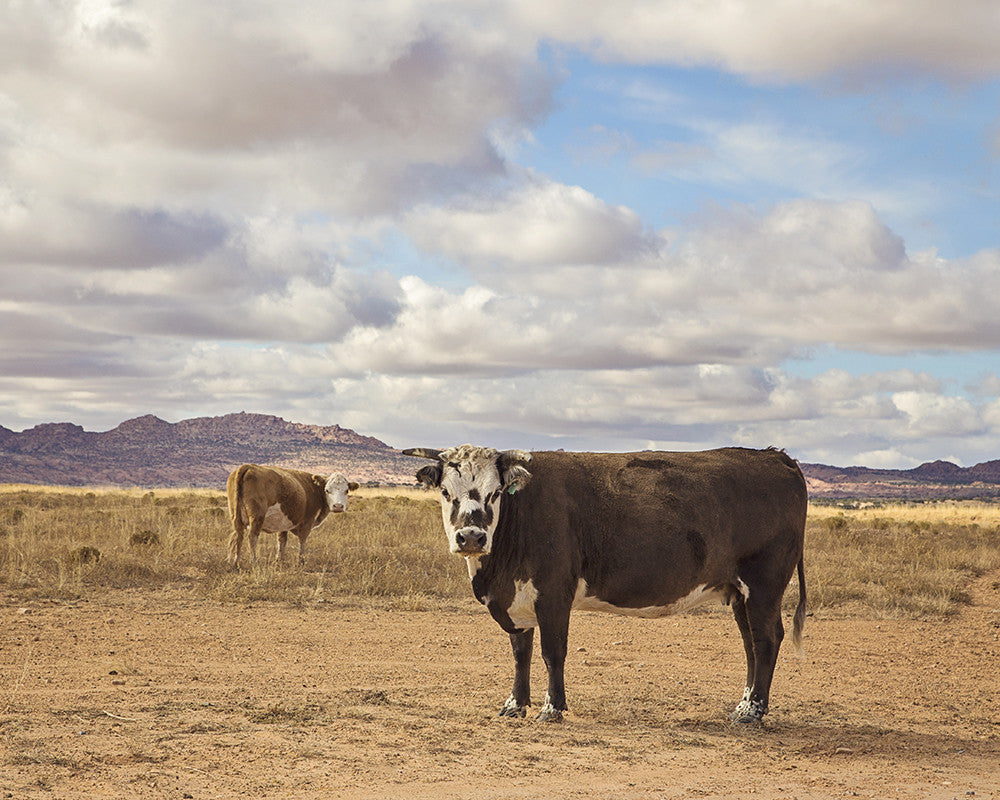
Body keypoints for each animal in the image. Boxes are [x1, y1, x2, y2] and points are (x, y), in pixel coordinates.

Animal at [226, 464, 359, 567]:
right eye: (327, 490)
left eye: (346, 490)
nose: (338, 506)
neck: (315, 489)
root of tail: (248, 466)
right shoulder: (308, 521)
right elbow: (302, 540)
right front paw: (301, 561)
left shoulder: (283, 523)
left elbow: (282, 541)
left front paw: (279, 561)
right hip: (257, 517)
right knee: (252, 537)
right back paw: (254, 562)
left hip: (235, 516)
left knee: (238, 537)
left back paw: (235, 562)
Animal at [403, 444, 807, 725]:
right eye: (445, 493)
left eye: (495, 493)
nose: (471, 537)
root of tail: (776, 457)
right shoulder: (516, 601)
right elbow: (521, 653)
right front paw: (515, 705)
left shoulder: (553, 594)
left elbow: (552, 653)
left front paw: (552, 709)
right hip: (740, 593)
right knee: (750, 645)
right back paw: (743, 704)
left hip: (764, 584)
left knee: (766, 640)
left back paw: (753, 712)